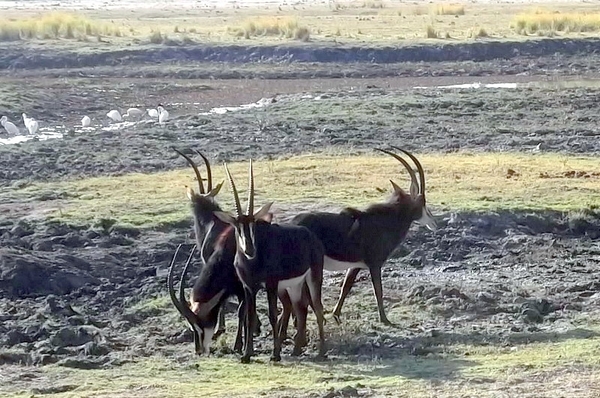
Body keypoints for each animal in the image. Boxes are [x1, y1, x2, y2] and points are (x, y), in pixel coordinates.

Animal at [216, 159, 326, 364]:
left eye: (254, 224)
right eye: (237, 226)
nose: (249, 250)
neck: (252, 263)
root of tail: (312, 237)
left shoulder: (271, 285)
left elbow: (273, 314)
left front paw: (275, 354)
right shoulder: (249, 287)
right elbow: (250, 316)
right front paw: (246, 354)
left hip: (313, 278)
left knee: (317, 306)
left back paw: (322, 351)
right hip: (294, 285)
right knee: (301, 308)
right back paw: (296, 350)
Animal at [292, 146, 436, 326]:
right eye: (423, 202)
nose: (434, 222)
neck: (386, 221)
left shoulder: (356, 265)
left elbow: (346, 287)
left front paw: (336, 315)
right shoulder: (375, 264)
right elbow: (378, 290)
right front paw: (385, 320)